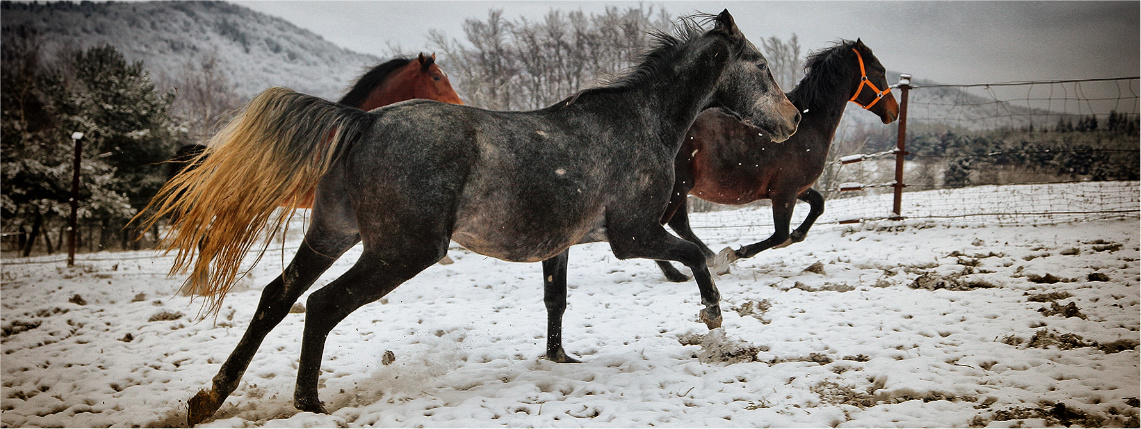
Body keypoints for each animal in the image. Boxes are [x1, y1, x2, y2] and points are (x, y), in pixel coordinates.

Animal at [140, 11, 803, 424]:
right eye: (762, 66)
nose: (793, 119)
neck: (640, 121)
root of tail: (365, 122)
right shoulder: (631, 234)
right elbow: (694, 256)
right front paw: (714, 319)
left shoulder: (561, 245)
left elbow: (556, 300)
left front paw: (560, 361)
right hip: (400, 251)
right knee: (323, 305)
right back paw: (309, 404)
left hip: (333, 234)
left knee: (277, 297)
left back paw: (209, 398)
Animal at [657, 38, 894, 279]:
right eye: (880, 71)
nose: (894, 111)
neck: (808, 125)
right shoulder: (785, 192)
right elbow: (780, 234)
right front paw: (735, 253)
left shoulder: (797, 188)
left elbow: (818, 205)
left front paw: (795, 236)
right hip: (678, 190)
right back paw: (681, 272)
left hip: (682, 190)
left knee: (677, 224)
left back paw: (709, 261)